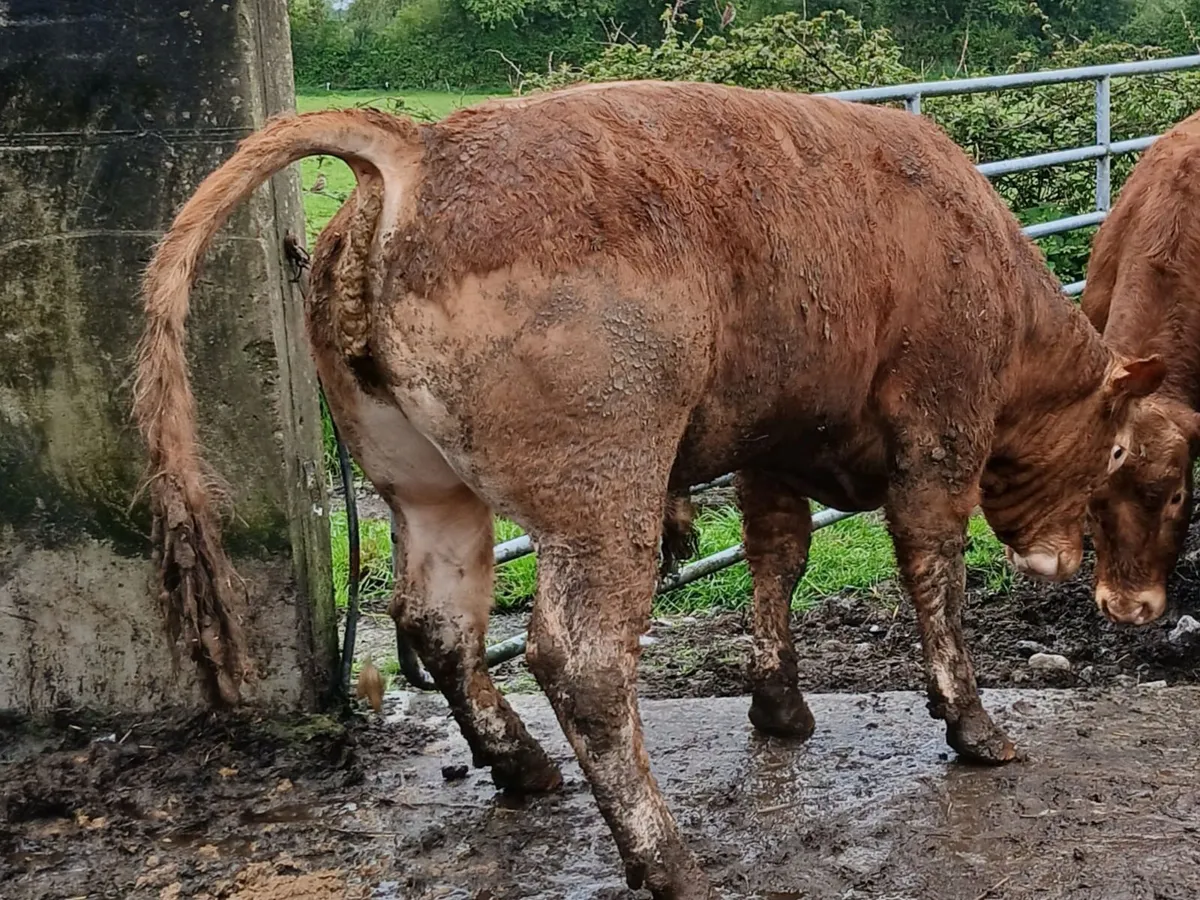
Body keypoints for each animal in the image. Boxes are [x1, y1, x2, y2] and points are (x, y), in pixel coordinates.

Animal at [132, 81, 1163, 899]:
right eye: (1114, 453)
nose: (1066, 563)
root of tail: (421, 150)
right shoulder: (939, 440)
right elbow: (934, 577)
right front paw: (976, 728)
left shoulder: (771, 446)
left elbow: (777, 557)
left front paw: (780, 707)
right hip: (603, 491)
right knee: (579, 660)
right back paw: (666, 860)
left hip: (426, 489)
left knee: (439, 622)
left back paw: (521, 766)